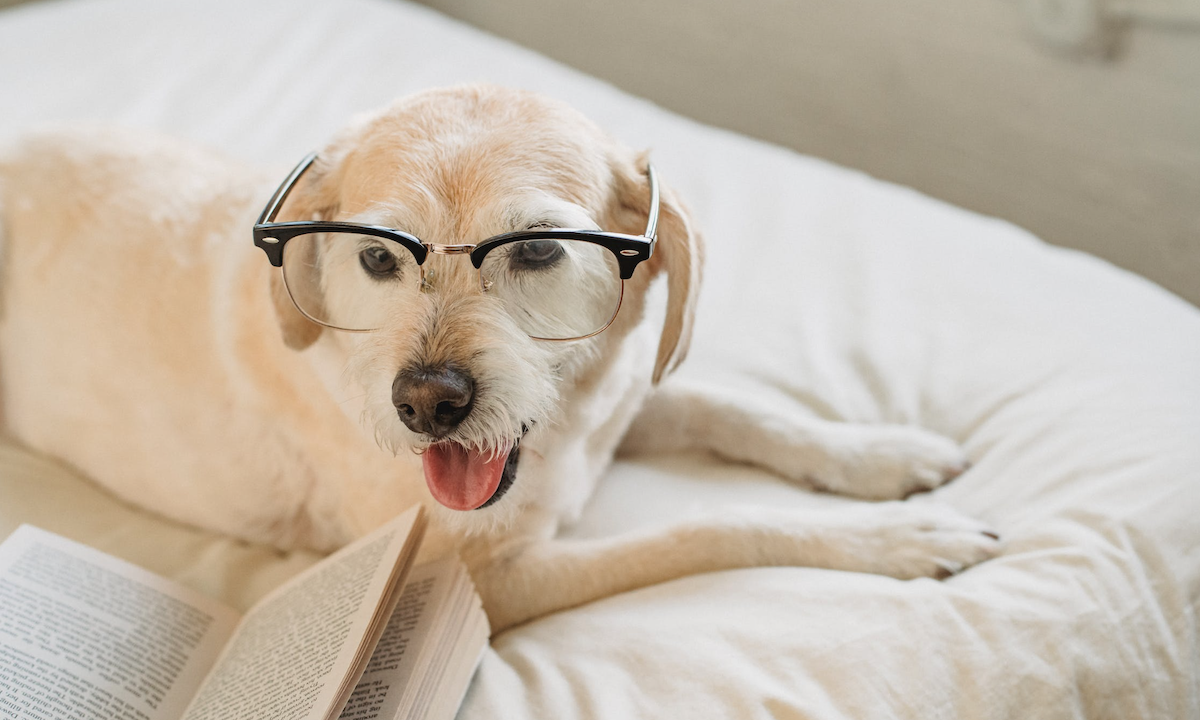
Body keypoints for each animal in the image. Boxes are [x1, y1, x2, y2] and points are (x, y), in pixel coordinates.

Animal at [0, 87, 1003, 633]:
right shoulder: (486, 580)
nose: (426, 404)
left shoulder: (622, 400)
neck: (565, 438)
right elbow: (709, 528)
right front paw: (896, 540)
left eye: (539, 250)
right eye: (377, 259)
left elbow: (736, 409)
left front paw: (877, 456)